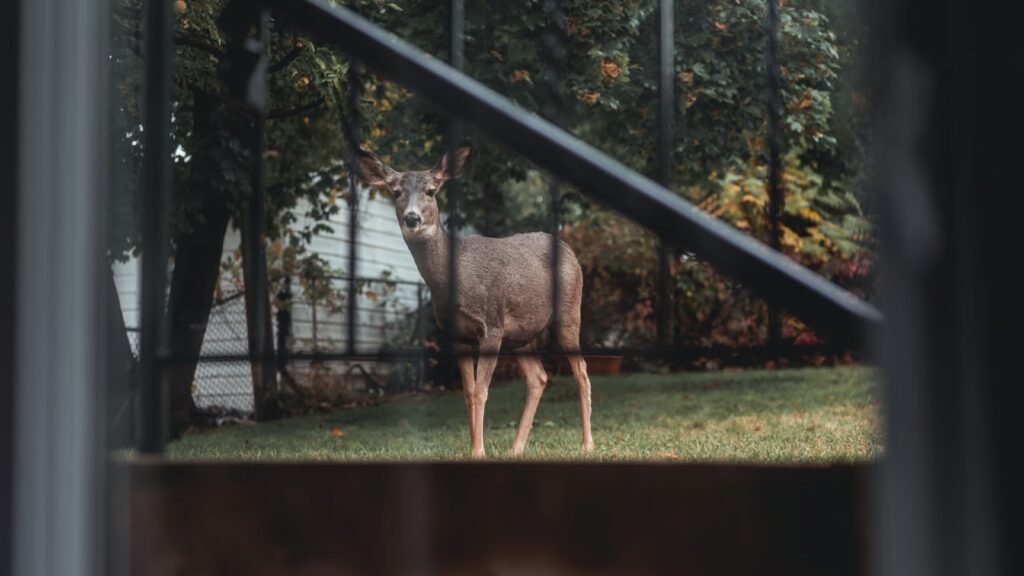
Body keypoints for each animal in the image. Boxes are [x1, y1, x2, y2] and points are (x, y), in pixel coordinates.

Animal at [357, 145, 594, 458]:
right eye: (395, 192)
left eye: (431, 191)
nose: (412, 218)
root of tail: (570, 251)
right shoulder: (457, 335)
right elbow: (468, 393)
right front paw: (474, 448)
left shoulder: (491, 325)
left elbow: (481, 391)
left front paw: (479, 451)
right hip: (521, 335)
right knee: (539, 378)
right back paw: (516, 448)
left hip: (568, 312)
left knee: (581, 370)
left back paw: (587, 444)